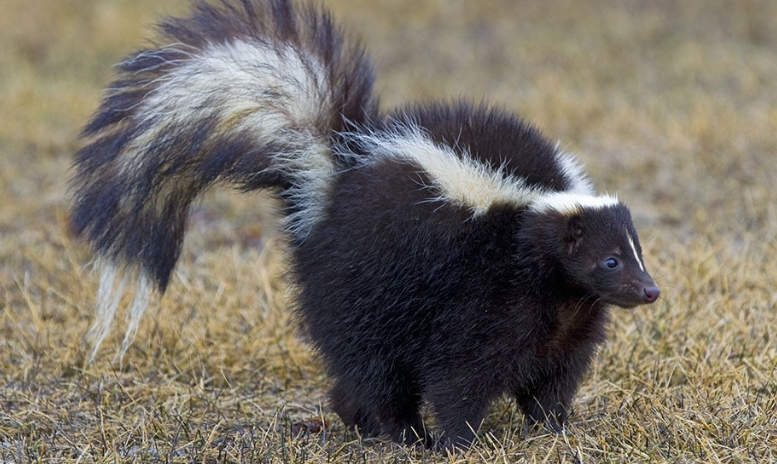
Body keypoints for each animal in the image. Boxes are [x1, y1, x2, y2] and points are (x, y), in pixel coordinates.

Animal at [69, 0, 656, 450]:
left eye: (638, 253)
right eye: (610, 260)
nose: (649, 290)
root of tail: (330, 179)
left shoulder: (567, 321)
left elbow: (554, 376)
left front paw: (553, 428)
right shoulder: (482, 295)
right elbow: (460, 374)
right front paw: (459, 440)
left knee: (359, 371)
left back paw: (359, 420)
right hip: (363, 285)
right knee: (373, 366)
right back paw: (402, 433)